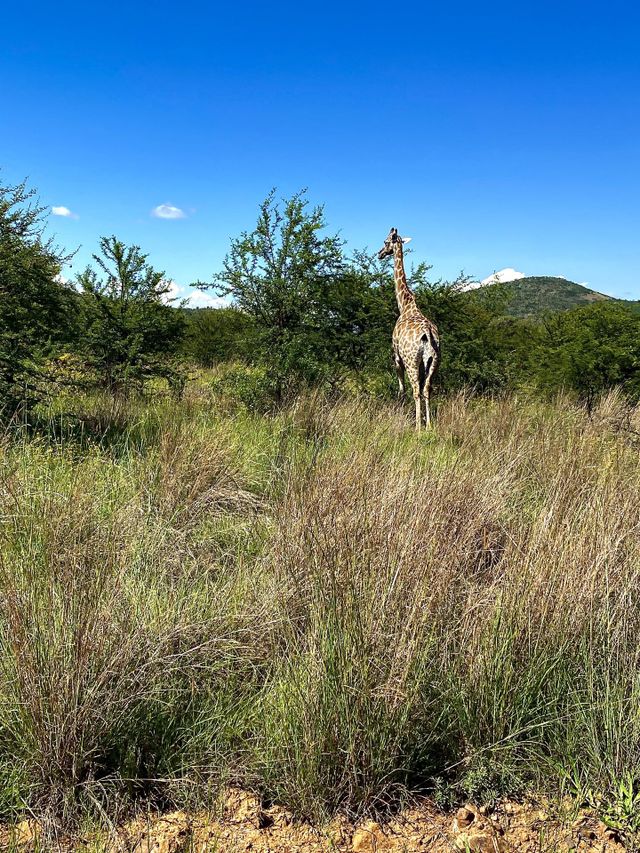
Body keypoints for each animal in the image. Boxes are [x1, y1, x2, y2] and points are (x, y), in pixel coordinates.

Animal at [377, 227, 440, 430]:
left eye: (385, 241)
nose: (379, 254)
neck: (405, 305)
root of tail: (428, 333)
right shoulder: (422, 363)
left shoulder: (396, 356)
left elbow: (401, 388)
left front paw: (402, 411)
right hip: (434, 362)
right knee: (426, 389)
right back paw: (428, 426)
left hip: (411, 361)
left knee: (415, 390)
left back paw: (418, 428)